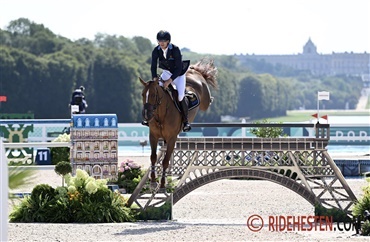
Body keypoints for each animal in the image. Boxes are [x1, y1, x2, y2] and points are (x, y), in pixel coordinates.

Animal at [140, 58, 218, 189]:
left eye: (153, 95)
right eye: (142, 94)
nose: (146, 116)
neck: (161, 115)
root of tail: (193, 72)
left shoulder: (172, 138)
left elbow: (165, 161)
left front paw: (162, 184)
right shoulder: (153, 136)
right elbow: (153, 158)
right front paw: (153, 181)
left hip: (204, 102)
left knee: (207, 102)